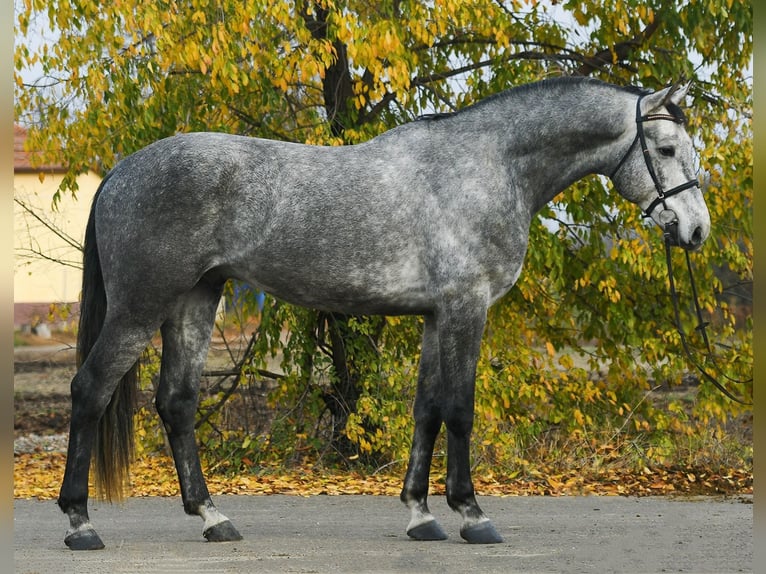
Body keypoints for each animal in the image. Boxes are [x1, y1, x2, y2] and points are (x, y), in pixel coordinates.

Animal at [57, 76, 710, 550]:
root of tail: (121, 171)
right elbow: (460, 410)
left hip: (196, 299)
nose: (696, 230)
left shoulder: (434, 316)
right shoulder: (465, 308)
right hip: (141, 308)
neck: (488, 166)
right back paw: (81, 523)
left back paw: (213, 518)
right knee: (90, 389)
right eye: (667, 149)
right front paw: (472, 514)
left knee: (177, 403)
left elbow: (426, 411)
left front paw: (421, 515)